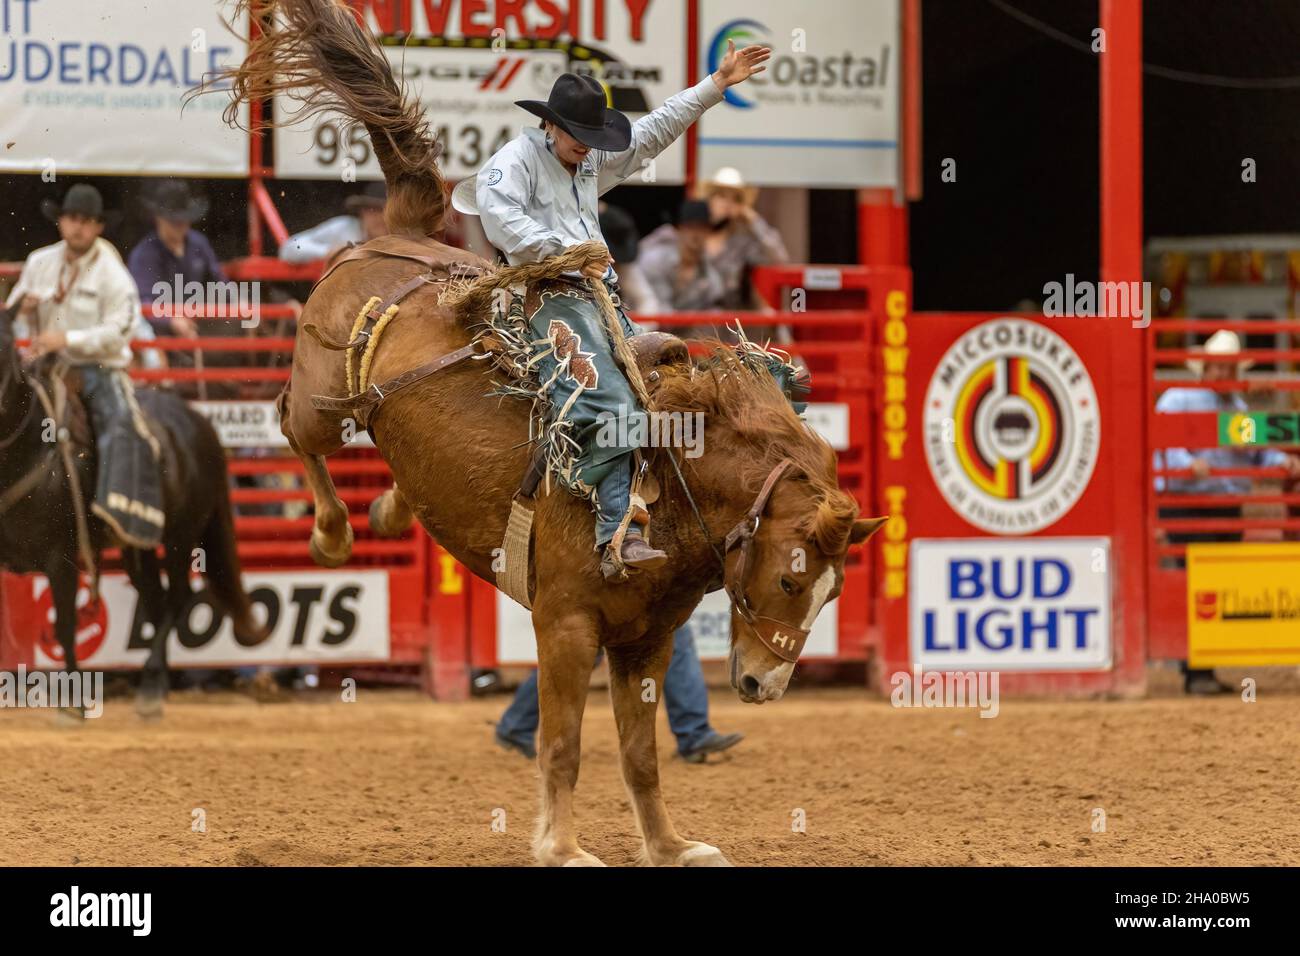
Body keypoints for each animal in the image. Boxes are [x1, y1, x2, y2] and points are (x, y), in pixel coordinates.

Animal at [223, 0, 889, 868]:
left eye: (832, 592)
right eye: (788, 580)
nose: (760, 686)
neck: (669, 482)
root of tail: (398, 237)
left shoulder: (649, 641)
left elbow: (640, 755)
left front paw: (671, 845)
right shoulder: (567, 627)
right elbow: (564, 745)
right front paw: (562, 847)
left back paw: (390, 511)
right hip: (323, 403)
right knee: (293, 431)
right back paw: (334, 533)